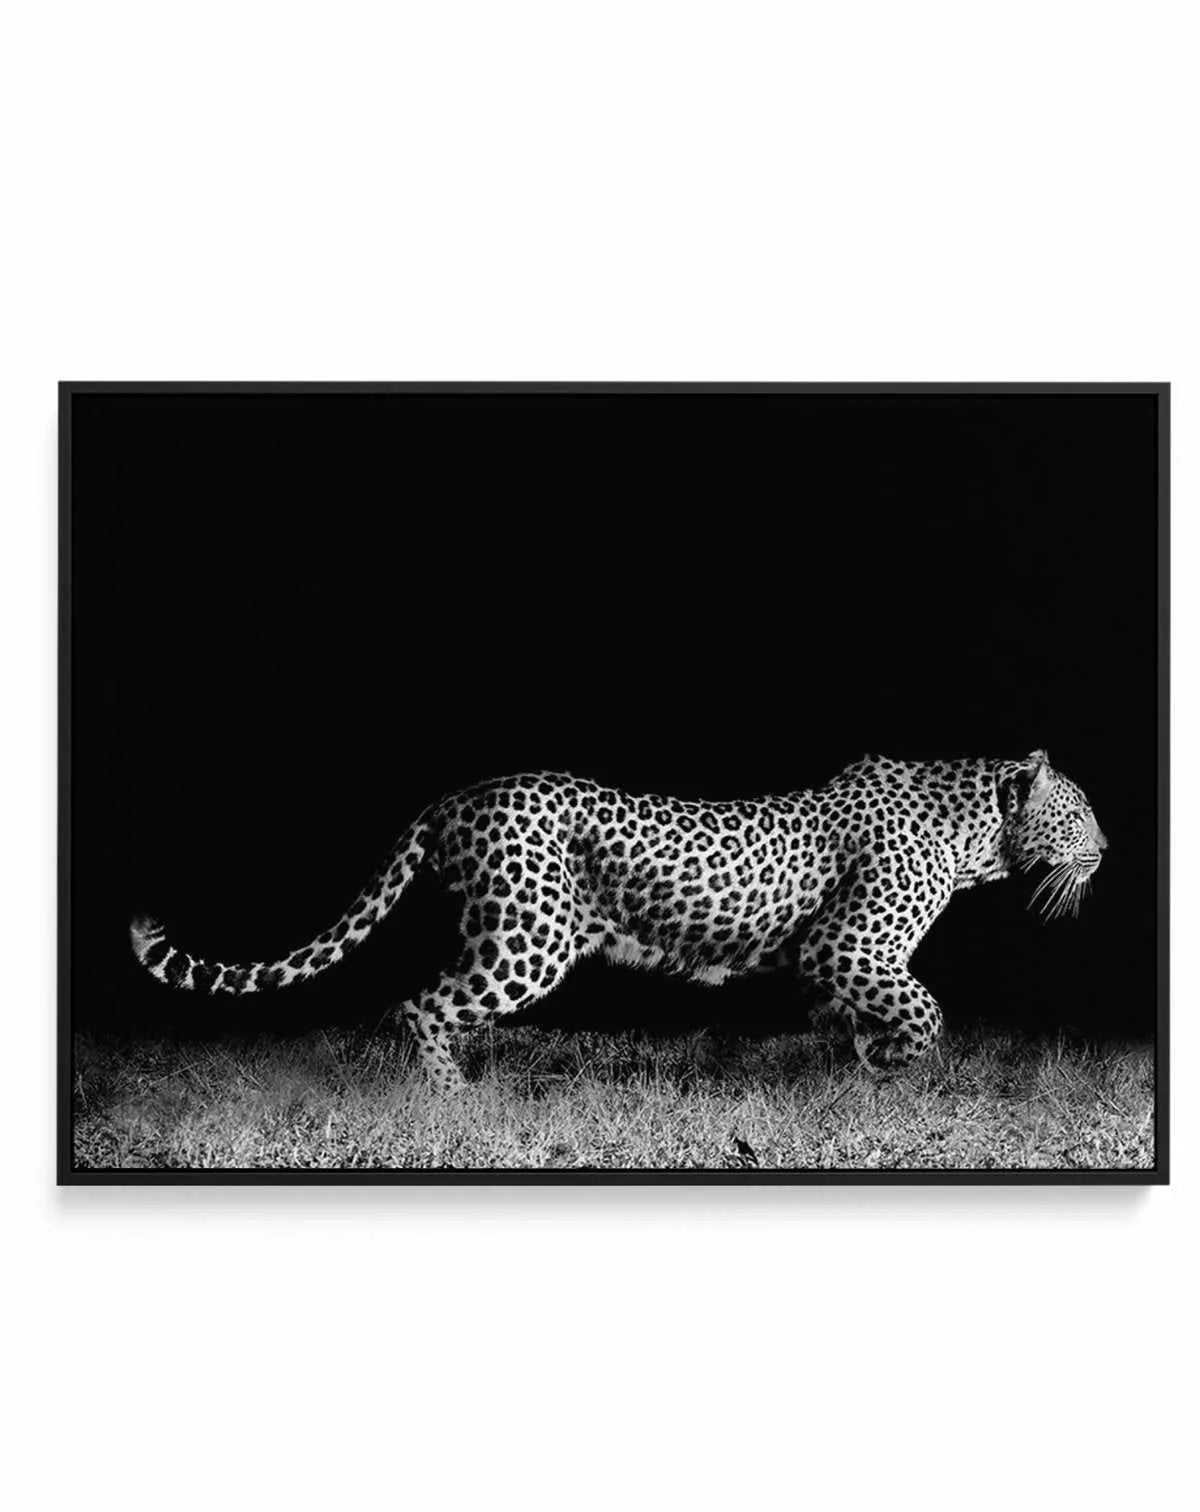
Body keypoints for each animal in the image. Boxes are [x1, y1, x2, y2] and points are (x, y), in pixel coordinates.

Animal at [130, 749, 1106, 1092]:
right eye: (1082, 811)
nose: (1108, 845)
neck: (977, 834)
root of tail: (458, 794)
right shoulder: (847, 946)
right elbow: (926, 1009)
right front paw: (898, 1066)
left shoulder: (837, 962)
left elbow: (865, 1016)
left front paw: (866, 1066)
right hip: (529, 938)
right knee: (420, 1004)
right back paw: (452, 1100)